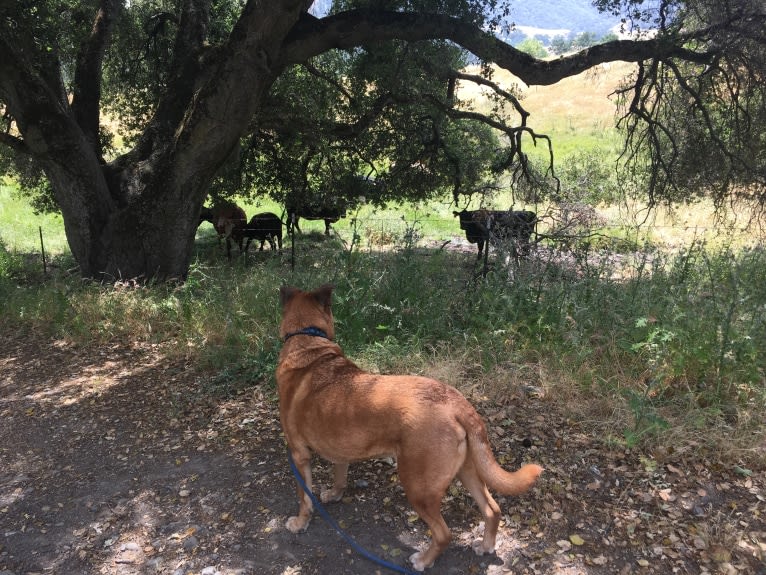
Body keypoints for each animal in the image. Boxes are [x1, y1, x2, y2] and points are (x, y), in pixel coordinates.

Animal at [276, 286, 544, 568]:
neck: (307, 339)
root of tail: (456, 401)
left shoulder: (299, 454)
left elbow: (304, 498)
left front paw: (300, 522)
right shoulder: (341, 450)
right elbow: (340, 476)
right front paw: (334, 494)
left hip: (418, 488)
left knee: (444, 534)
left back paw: (424, 560)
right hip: (468, 470)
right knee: (492, 510)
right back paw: (486, 545)